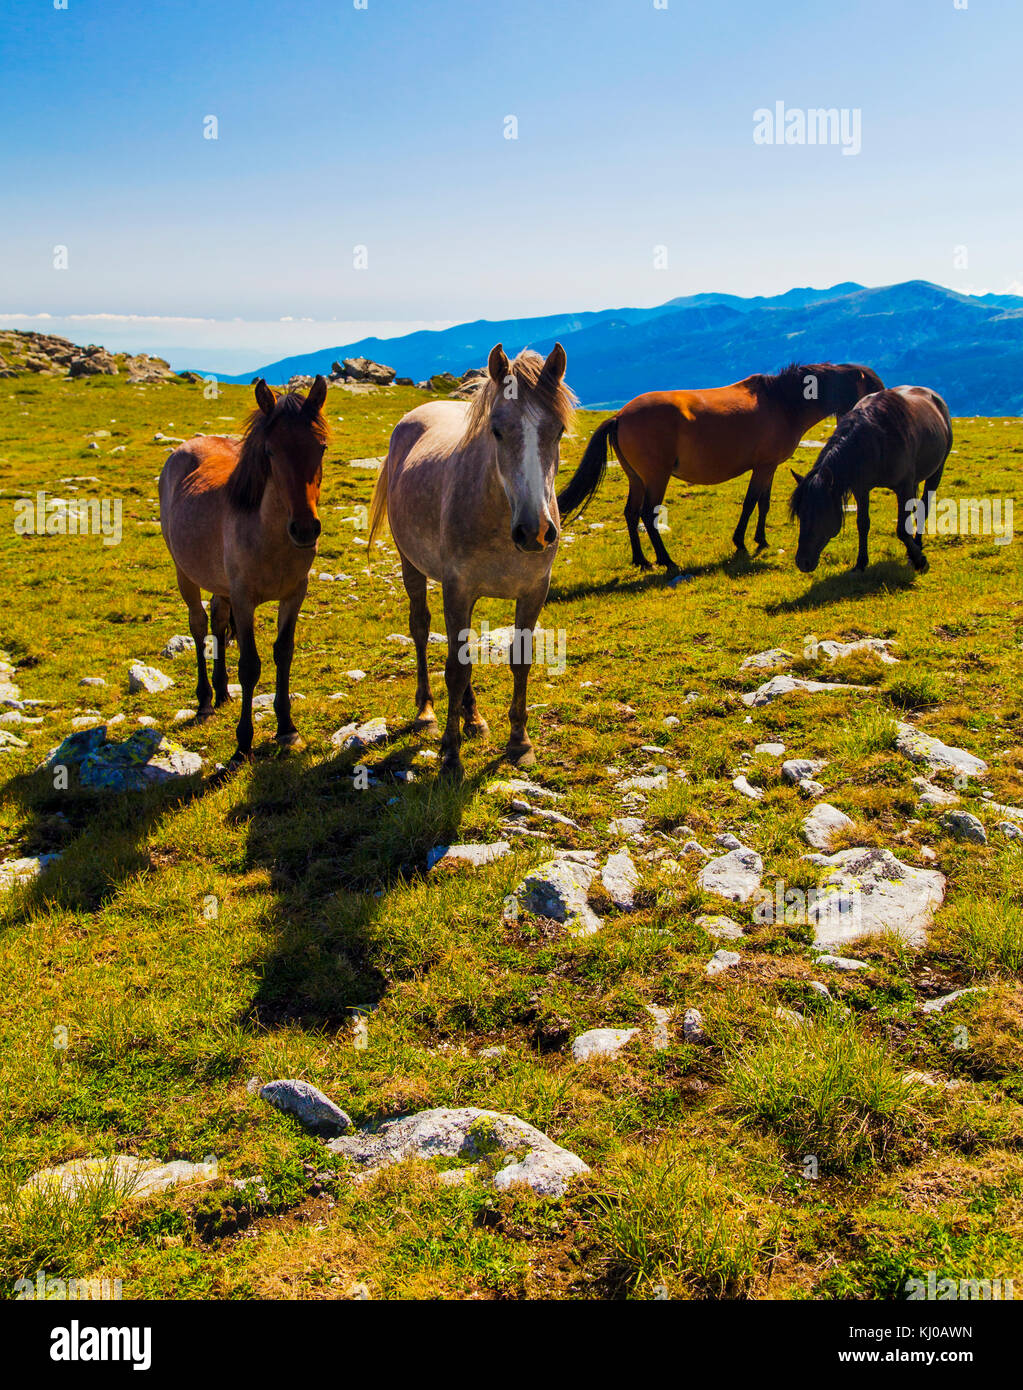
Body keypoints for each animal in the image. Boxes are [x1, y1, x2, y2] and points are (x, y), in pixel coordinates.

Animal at [158, 376, 329, 763]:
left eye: (321, 448)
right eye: (270, 452)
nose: (305, 529)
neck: (269, 537)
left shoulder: (294, 594)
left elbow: (283, 653)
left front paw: (287, 728)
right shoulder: (244, 598)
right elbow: (250, 666)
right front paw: (242, 745)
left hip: (220, 585)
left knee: (218, 622)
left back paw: (222, 691)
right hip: (185, 574)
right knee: (199, 626)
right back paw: (205, 702)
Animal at [368, 343, 575, 778]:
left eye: (559, 431)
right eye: (496, 430)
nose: (535, 531)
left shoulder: (534, 591)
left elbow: (519, 661)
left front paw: (519, 742)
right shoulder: (458, 589)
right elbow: (456, 669)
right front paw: (450, 754)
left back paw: (473, 718)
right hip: (412, 566)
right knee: (421, 629)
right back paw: (427, 712)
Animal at [556, 361, 884, 568]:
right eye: (872, 388)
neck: (783, 403)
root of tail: (620, 416)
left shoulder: (769, 467)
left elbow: (763, 503)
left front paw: (761, 540)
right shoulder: (764, 466)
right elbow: (751, 502)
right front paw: (741, 542)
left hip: (637, 479)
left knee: (630, 513)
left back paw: (642, 560)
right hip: (656, 477)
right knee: (648, 514)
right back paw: (666, 560)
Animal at [789, 385, 952, 575]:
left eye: (820, 513)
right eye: (800, 513)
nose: (802, 562)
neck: (877, 440)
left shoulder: (903, 487)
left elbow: (902, 530)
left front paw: (919, 560)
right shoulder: (861, 489)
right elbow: (863, 524)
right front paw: (860, 563)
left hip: (936, 472)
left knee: (923, 509)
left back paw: (917, 547)